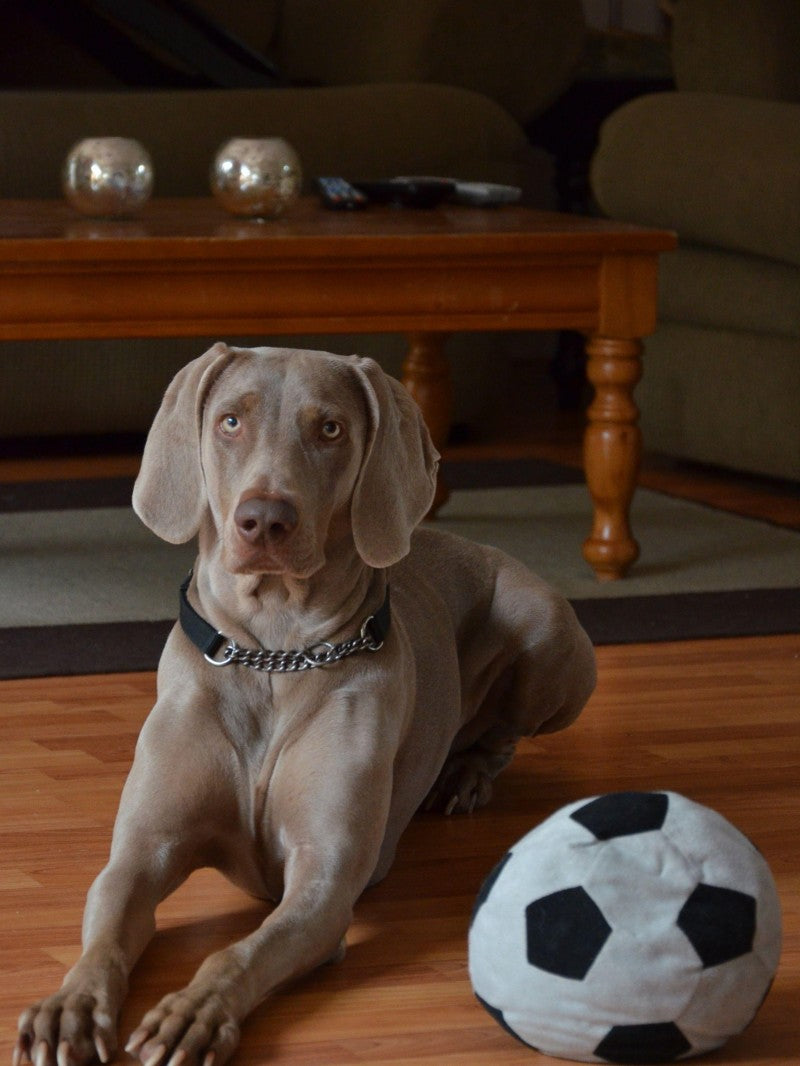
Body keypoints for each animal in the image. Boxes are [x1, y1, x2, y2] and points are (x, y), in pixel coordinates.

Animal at [15, 343, 597, 1066]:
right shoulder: (142, 852)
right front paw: (68, 1005)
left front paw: (192, 1013)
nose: (265, 519)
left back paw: (463, 777)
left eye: (330, 430)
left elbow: (238, 954)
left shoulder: (324, 881)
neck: (274, 653)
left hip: (546, 629)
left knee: (503, 734)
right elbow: (104, 933)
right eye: (230, 421)